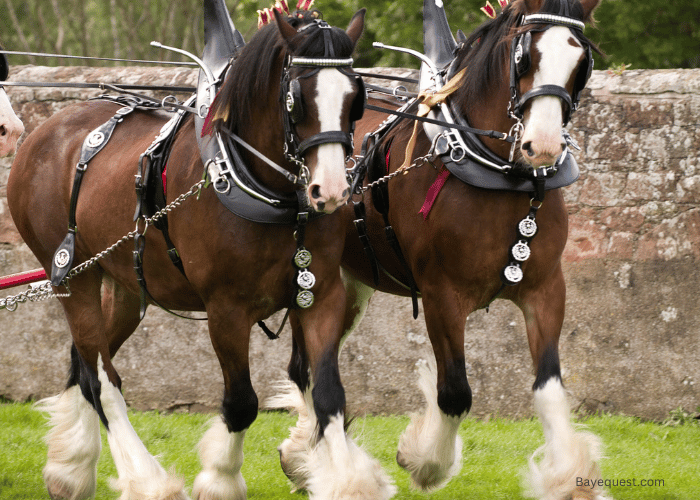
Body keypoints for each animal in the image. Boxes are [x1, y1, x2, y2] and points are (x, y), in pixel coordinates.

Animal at [6, 7, 382, 500]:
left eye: (355, 98)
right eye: (297, 99)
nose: (332, 190)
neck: (261, 185)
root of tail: (44, 132)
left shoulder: (319, 294)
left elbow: (328, 393)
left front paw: (350, 480)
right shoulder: (226, 308)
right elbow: (241, 402)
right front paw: (220, 478)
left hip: (125, 283)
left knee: (83, 361)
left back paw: (69, 468)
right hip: (73, 276)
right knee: (100, 377)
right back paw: (145, 480)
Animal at [282, 0, 608, 500]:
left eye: (581, 63)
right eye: (524, 57)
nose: (544, 145)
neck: (499, 176)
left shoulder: (546, 288)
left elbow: (549, 388)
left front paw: (569, 479)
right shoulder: (442, 296)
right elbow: (454, 391)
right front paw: (425, 461)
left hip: (351, 288)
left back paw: (305, 455)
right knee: (306, 369)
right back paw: (319, 462)